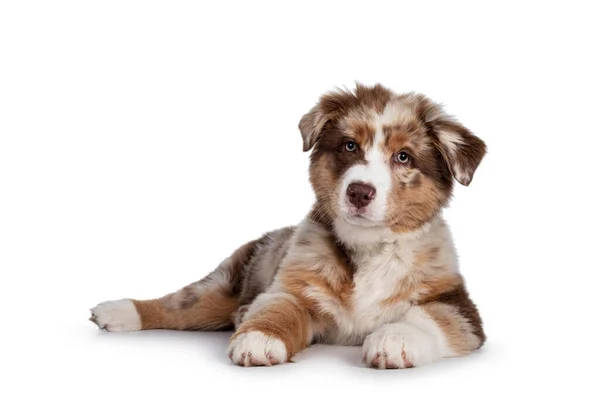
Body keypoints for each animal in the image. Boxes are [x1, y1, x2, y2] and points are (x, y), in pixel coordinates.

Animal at [90, 83, 488, 368]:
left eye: (403, 157)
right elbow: (279, 308)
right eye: (349, 146)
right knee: (178, 304)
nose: (359, 192)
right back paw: (117, 311)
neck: (366, 246)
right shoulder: (292, 286)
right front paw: (260, 339)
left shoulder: (458, 305)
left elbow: (428, 316)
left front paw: (394, 341)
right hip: (227, 282)